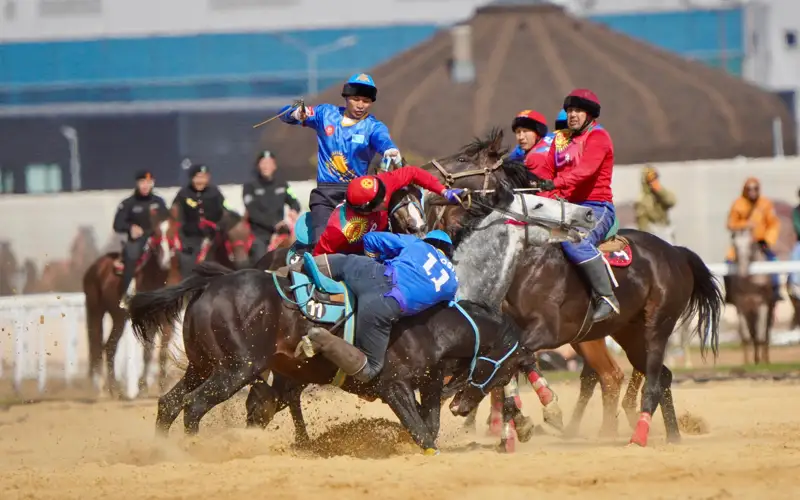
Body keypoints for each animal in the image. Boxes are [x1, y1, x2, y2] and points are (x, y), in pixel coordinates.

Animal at [82, 208, 174, 398]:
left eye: (172, 230)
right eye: (155, 233)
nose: (165, 260)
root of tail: (95, 267)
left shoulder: (165, 319)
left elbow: (161, 350)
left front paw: (162, 385)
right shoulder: (147, 320)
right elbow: (148, 351)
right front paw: (143, 387)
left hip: (118, 318)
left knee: (109, 346)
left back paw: (114, 389)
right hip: (95, 311)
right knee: (97, 346)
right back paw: (103, 388)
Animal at [422, 130, 720, 446]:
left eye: (462, 159)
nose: (427, 173)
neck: (528, 264)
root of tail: (676, 253)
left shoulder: (546, 331)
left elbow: (510, 358)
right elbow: (509, 364)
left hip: (656, 328)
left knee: (644, 379)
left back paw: (637, 436)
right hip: (629, 334)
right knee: (658, 376)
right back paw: (670, 435)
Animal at [724, 228, 776, 364]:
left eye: (751, 245)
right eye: (735, 245)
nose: (742, 272)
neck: (750, 283)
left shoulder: (763, 305)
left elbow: (761, 335)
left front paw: (762, 362)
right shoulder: (741, 308)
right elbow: (746, 336)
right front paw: (747, 363)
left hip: (769, 309)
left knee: (766, 333)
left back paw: (765, 359)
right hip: (750, 313)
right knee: (752, 333)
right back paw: (756, 359)